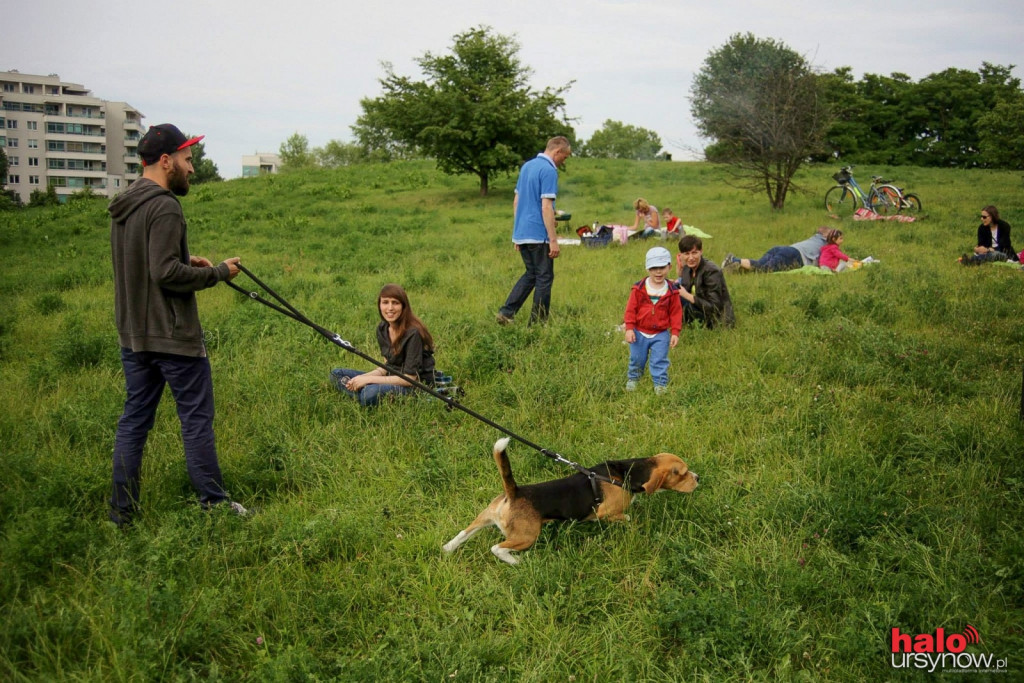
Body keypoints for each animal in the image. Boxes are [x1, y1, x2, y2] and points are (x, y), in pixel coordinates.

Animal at [440, 440, 696, 565]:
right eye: (683, 474)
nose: (698, 478)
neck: (625, 473)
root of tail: (514, 492)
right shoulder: (605, 513)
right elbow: (625, 516)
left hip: (484, 518)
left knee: (463, 533)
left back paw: (448, 549)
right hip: (527, 536)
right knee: (497, 548)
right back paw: (515, 561)